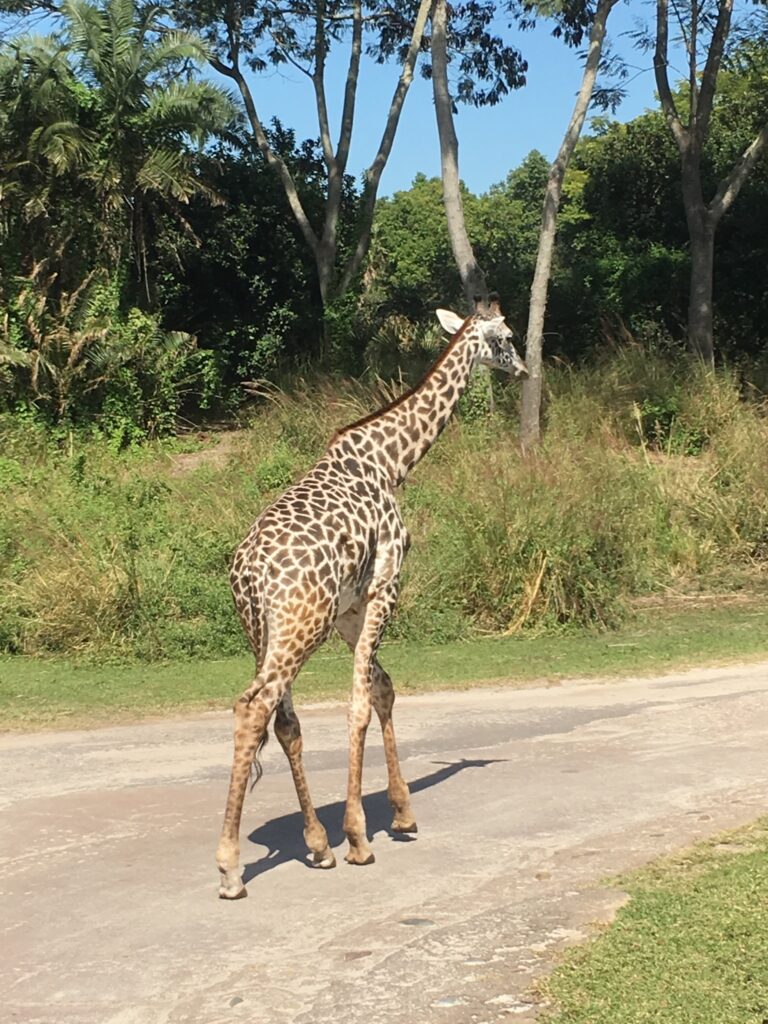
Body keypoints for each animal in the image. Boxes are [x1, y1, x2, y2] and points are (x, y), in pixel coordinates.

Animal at [217, 294, 528, 897]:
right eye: (506, 336)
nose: (524, 369)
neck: (392, 462)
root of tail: (250, 575)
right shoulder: (387, 584)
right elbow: (359, 702)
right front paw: (361, 836)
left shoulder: (351, 607)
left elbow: (382, 687)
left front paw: (401, 813)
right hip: (299, 627)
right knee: (253, 707)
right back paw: (230, 868)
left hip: (262, 632)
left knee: (282, 722)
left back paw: (316, 846)